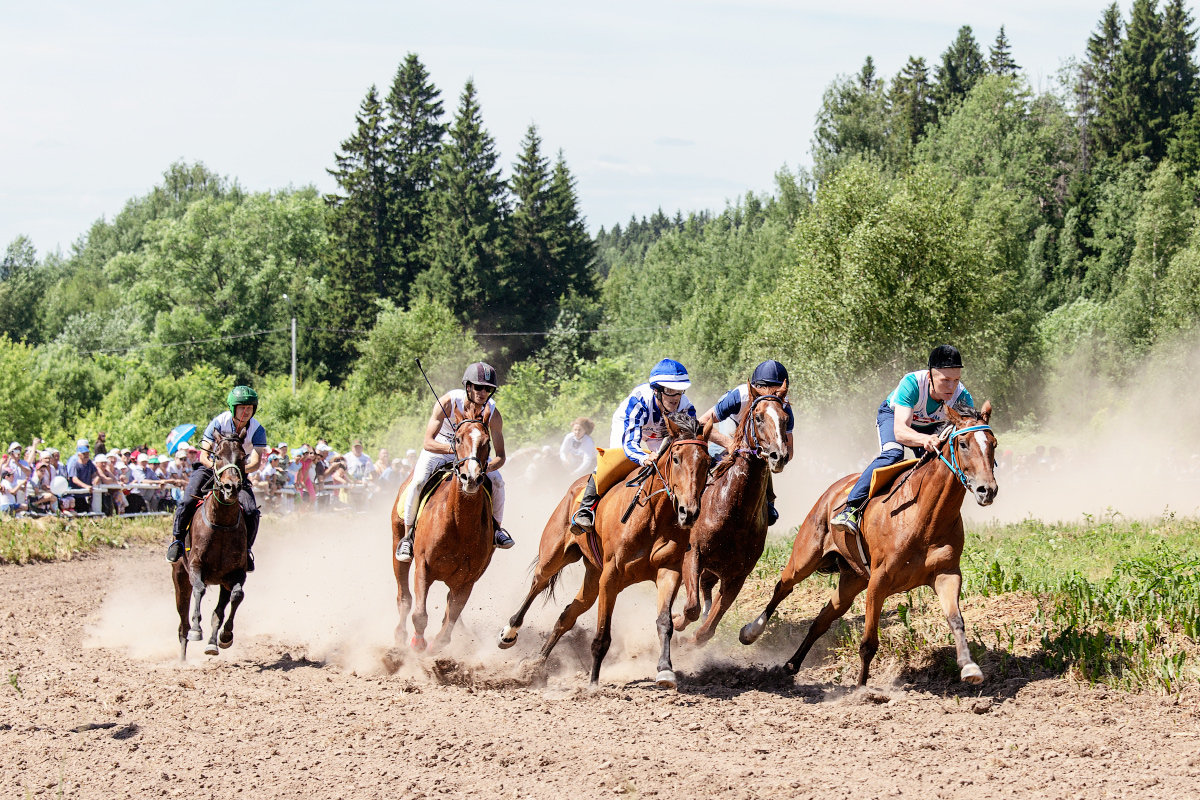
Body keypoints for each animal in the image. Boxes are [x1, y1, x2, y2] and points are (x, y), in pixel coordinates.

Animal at [172, 434, 249, 662]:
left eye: (242, 457)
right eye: (218, 456)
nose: (231, 487)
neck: (221, 524)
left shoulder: (236, 573)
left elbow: (236, 596)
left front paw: (226, 635)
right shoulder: (195, 566)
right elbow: (199, 588)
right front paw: (197, 628)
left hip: (222, 582)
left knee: (219, 610)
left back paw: (213, 643)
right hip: (179, 578)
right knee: (182, 622)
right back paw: (183, 657)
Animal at [388, 407, 492, 652]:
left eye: (487, 442)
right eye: (458, 438)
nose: (470, 477)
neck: (459, 525)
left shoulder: (467, 580)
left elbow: (449, 623)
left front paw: (435, 646)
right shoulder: (423, 566)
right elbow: (419, 615)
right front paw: (417, 644)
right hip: (398, 542)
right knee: (404, 597)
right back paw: (400, 635)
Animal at [496, 412, 710, 690]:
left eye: (707, 462)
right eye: (676, 459)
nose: (689, 512)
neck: (654, 516)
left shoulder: (668, 571)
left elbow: (665, 622)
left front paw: (665, 670)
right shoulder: (611, 576)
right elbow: (602, 636)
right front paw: (593, 684)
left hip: (592, 576)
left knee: (568, 614)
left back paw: (536, 665)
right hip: (554, 556)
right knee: (537, 584)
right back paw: (509, 633)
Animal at [672, 383, 792, 647]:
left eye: (785, 418)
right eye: (758, 417)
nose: (778, 456)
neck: (734, 515)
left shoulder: (738, 575)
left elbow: (706, 630)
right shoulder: (692, 554)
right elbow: (691, 608)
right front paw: (675, 621)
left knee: (706, 589)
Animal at [739, 402, 1003, 686]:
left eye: (993, 443)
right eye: (963, 443)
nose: (987, 490)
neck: (927, 517)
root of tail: (833, 489)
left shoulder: (946, 573)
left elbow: (956, 620)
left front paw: (969, 666)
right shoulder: (879, 580)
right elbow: (868, 643)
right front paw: (861, 688)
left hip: (852, 579)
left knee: (822, 619)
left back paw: (791, 664)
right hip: (806, 557)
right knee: (783, 586)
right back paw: (751, 631)